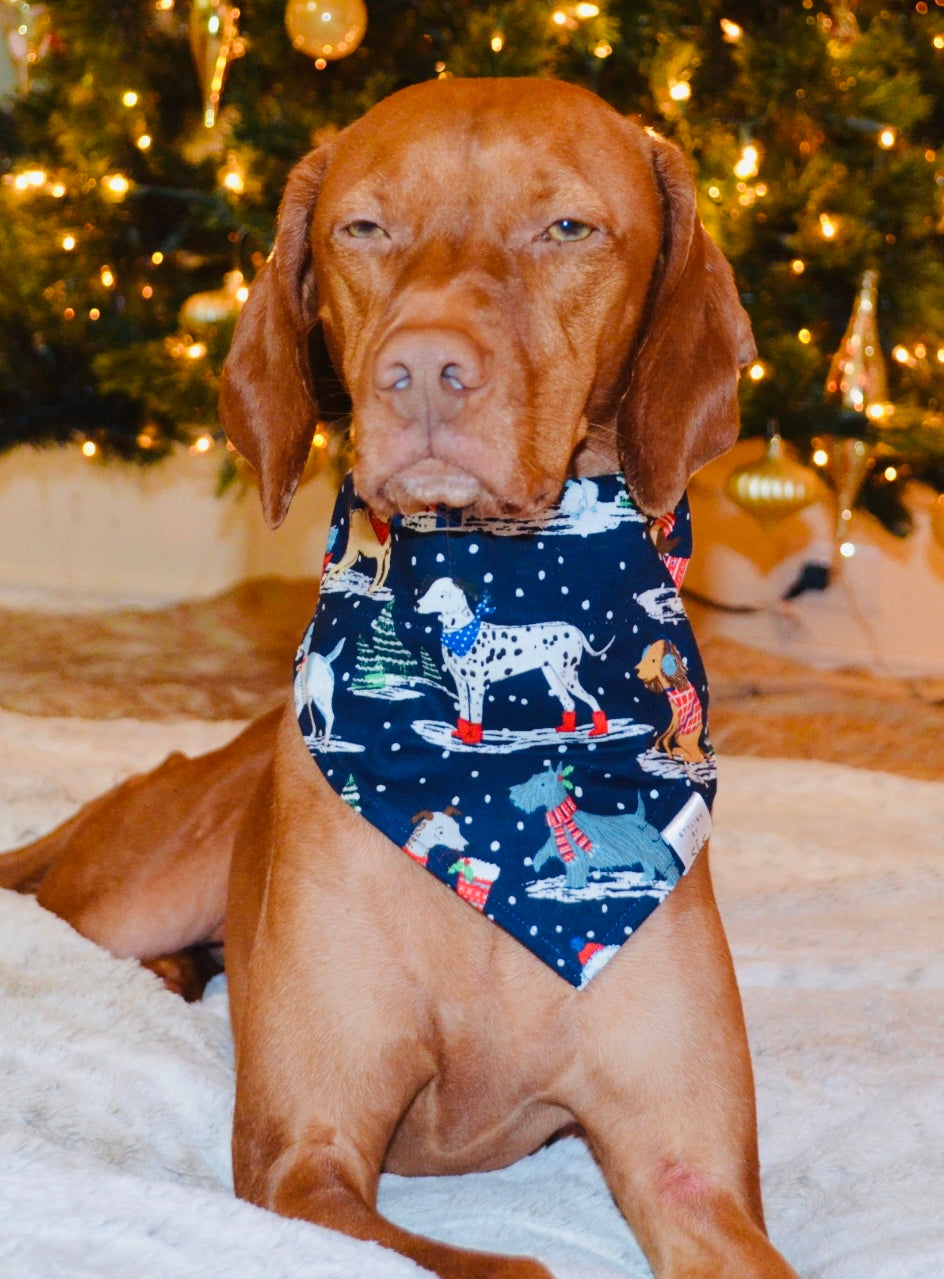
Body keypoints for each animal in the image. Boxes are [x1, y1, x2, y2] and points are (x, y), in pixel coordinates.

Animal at [414, 578, 606, 746]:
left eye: (442, 594)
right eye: (428, 590)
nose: (417, 604)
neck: (462, 633)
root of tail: (573, 628)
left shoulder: (477, 686)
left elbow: (475, 716)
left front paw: (472, 738)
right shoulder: (460, 682)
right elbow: (464, 712)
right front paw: (462, 733)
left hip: (568, 677)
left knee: (592, 698)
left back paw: (600, 730)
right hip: (553, 677)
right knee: (569, 703)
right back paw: (566, 729)